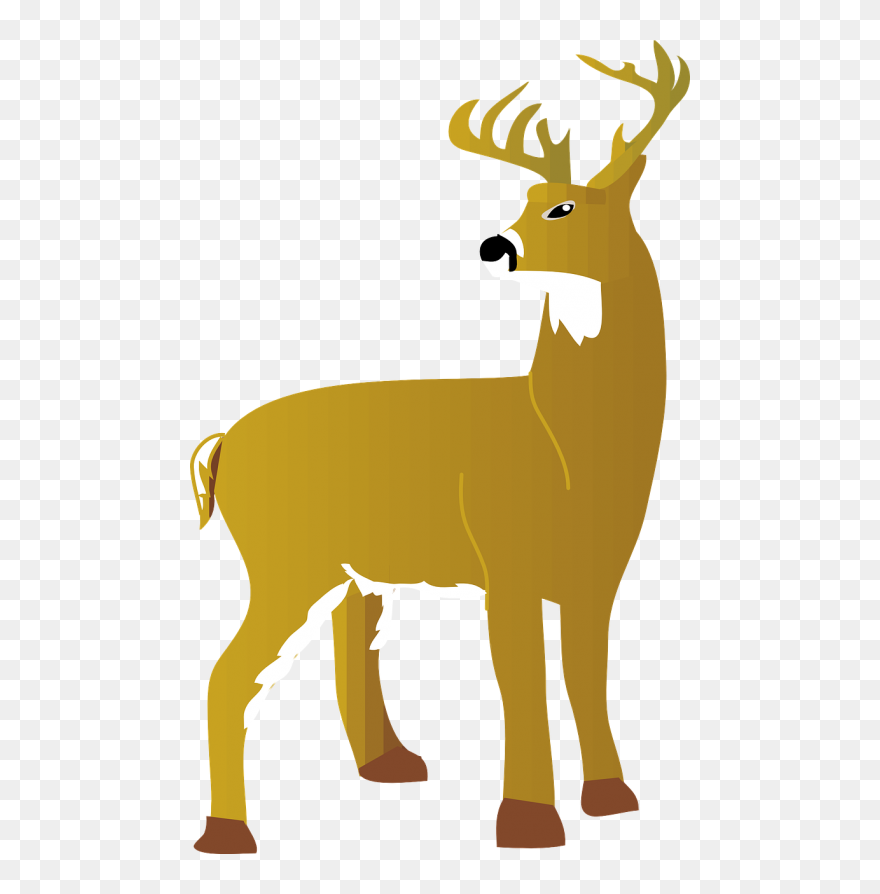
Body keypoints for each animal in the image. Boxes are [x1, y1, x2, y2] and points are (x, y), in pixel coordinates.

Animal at [190, 42, 689, 854]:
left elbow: (586, 674)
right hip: (284, 562)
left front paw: (612, 797)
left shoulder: (599, 570)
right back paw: (227, 833)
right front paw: (528, 821)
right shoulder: (505, 560)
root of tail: (223, 443)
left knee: (349, 651)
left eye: (561, 206)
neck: (561, 439)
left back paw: (389, 765)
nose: (495, 245)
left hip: (349, 570)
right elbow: (521, 681)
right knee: (229, 675)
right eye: (523, 201)